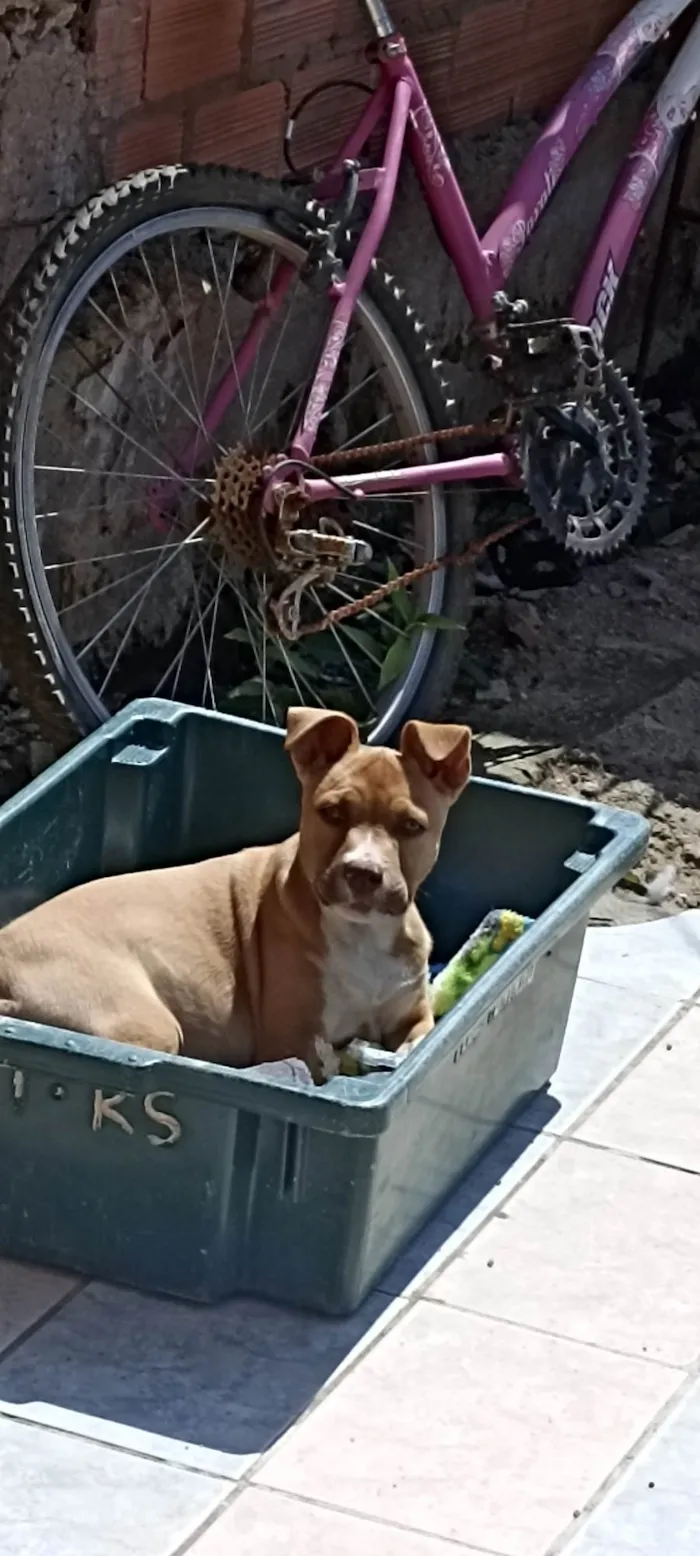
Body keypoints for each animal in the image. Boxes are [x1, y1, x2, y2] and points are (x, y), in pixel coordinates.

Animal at [0, 712, 469, 1076]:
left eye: (411, 826)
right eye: (332, 813)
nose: (363, 873)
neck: (361, 932)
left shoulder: (415, 1016)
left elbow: (410, 1045)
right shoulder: (294, 1040)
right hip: (137, 1020)